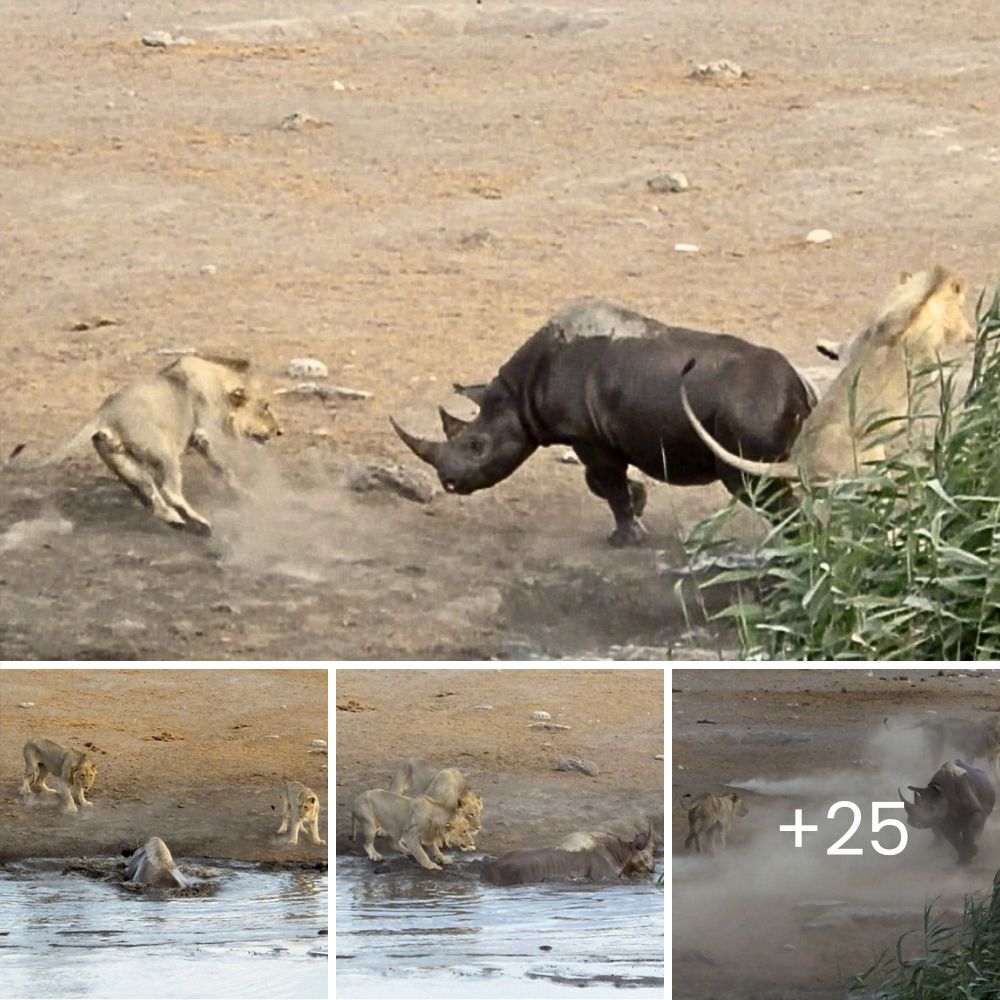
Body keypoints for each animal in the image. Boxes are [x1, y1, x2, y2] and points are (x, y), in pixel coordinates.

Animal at [7, 356, 282, 536]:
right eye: (265, 407)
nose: (279, 431)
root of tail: (105, 412)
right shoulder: (205, 437)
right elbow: (224, 469)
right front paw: (246, 494)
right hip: (164, 452)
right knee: (170, 490)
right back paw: (201, 523)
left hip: (121, 460)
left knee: (149, 493)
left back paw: (179, 522)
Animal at [390, 298, 812, 548]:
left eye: (477, 446)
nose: (449, 483)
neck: (516, 396)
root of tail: (797, 387)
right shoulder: (597, 435)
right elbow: (604, 483)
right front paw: (639, 506)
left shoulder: (585, 435)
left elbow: (606, 484)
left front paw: (624, 538)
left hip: (749, 411)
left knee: (753, 484)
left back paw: (796, 545)